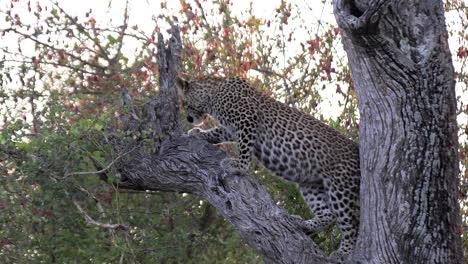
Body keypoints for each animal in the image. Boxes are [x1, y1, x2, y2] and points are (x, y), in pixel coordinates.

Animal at [174, 75, 360, 258]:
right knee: (328, 214)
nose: (189, 119)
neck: (212, 95)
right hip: (310, 184)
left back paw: (344, 251)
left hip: (340, 188)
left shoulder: (247, 118)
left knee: (351, 223)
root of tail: (357, 148)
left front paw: (238, 166)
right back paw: (303, 224)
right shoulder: (231, 128)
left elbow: (244, 146)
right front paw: (199, 134)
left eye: (184, 103)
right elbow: (218, 132)